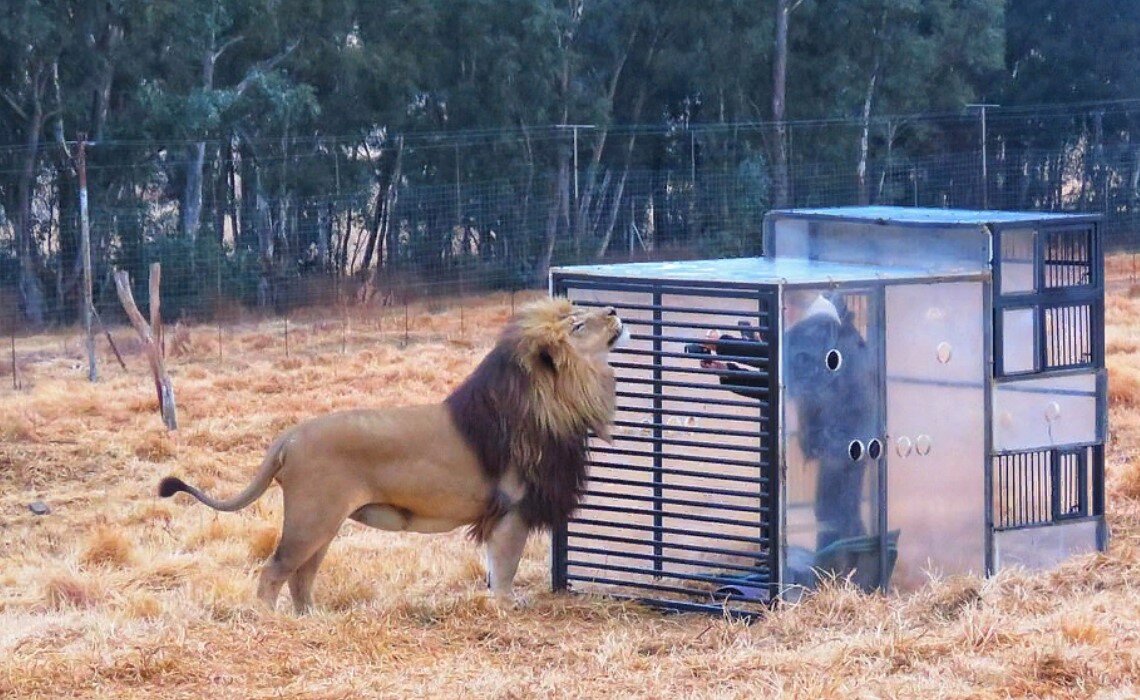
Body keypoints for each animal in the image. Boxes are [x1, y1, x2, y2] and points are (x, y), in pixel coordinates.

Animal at [158, 298, 624, 615]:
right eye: (579, 323)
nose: (614, 309)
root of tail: (288, 436)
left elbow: (496, 565)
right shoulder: (513, 509)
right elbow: (505, 566)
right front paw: (507, 608)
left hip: (324, 524)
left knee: (301, 576)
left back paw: (311, 619)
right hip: (311, 520)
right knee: (274, 571)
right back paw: (270, 623)